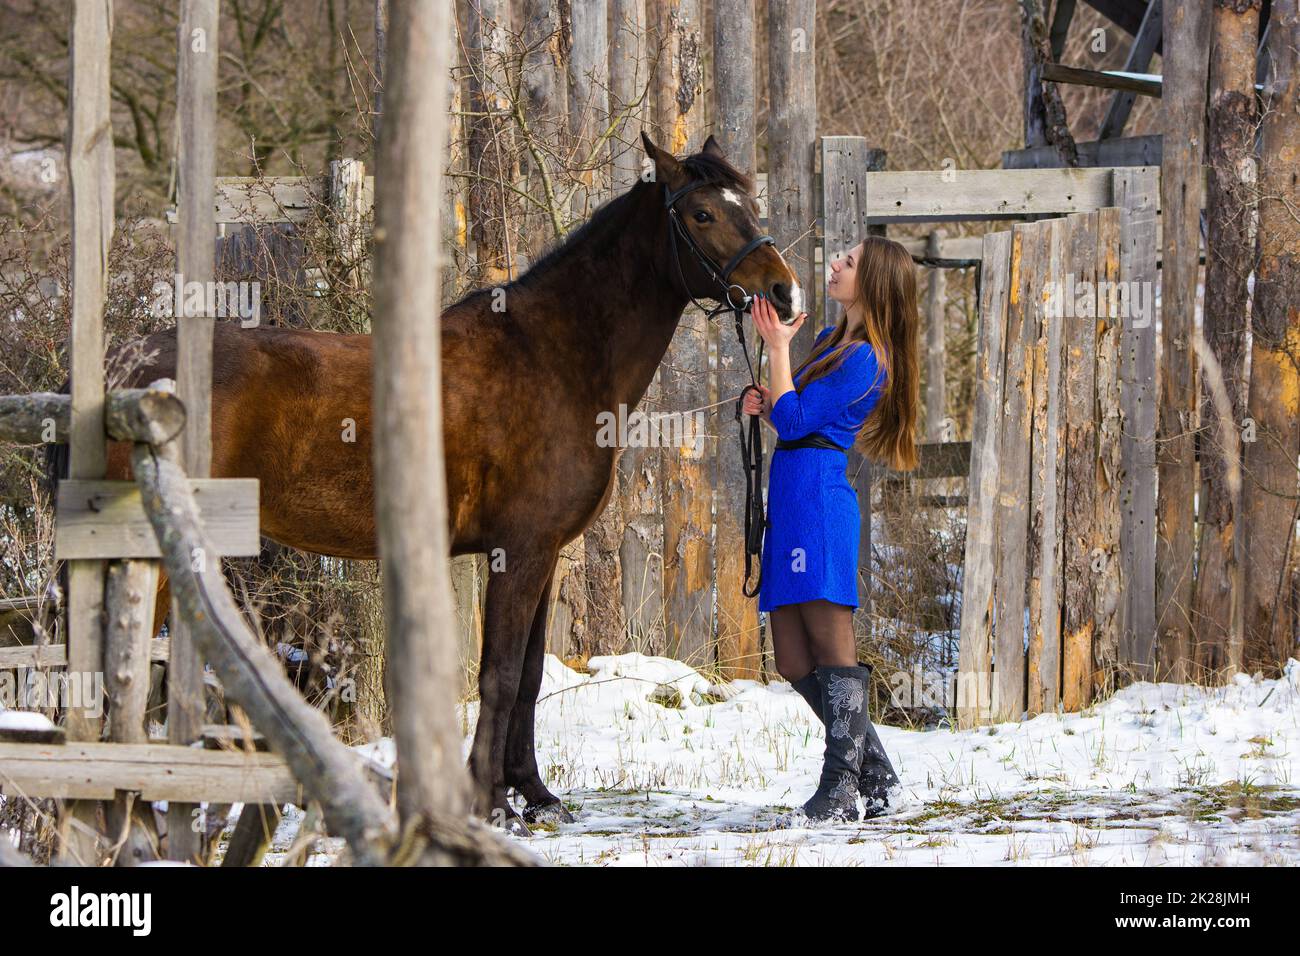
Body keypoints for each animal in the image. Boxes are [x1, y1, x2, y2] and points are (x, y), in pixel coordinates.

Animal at [106, 130, 795, 832]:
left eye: (751, 205)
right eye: (703, 214)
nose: (782, 292)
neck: (555, 357)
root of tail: (126, 363)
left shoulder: (545, 553)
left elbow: (528, 677)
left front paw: (533, 793)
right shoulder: (517, 550)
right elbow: (498, 676)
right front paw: (489, 803)